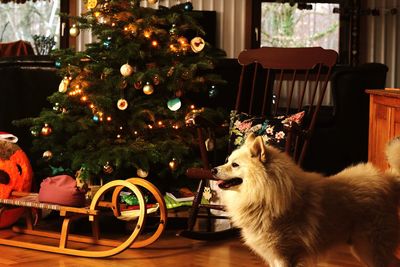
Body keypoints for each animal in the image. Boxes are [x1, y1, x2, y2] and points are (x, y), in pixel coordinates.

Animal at [214, 135, 400, 266]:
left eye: (235, 165)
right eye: (227, 161)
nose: (213, 169)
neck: (265, 194)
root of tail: (387, 180)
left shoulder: (285, 255)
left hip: (369, 248)